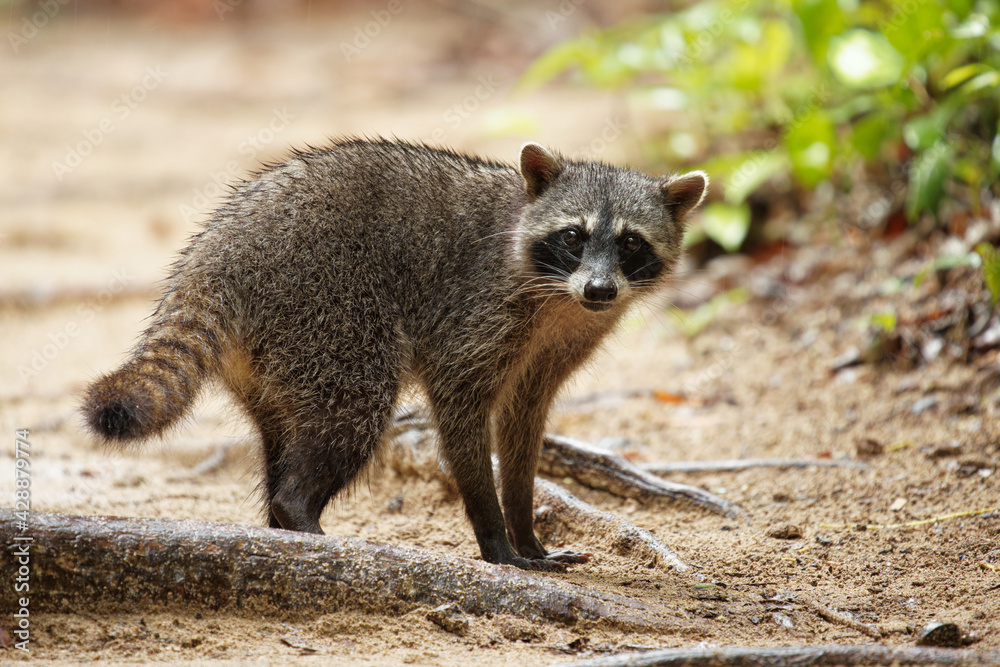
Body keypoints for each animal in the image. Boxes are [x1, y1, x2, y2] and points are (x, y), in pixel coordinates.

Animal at [82, 138, 707, 571]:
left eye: (631, 243)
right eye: (574, 236)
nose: (599, 290)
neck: (560, 299)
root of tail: (216, 251)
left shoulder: (557, 345)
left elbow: (523, 429)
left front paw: (525, 528)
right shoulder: (476, 313)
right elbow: (459, 418)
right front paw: (496, 536)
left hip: (276, 353)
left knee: (285, 433)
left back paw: (279, 523)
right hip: (327, 311)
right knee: (353, 410)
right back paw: (296, 509)